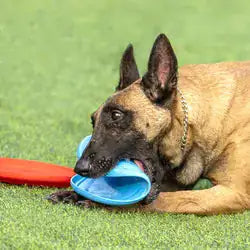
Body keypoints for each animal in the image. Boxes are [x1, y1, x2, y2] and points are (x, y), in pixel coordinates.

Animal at [48, 33, 250, 214]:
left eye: (116, 115)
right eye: (93, 120)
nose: (80, 168)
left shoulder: (232, 193)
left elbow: (159, 200)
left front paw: (98, 201)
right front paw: (73, 194)